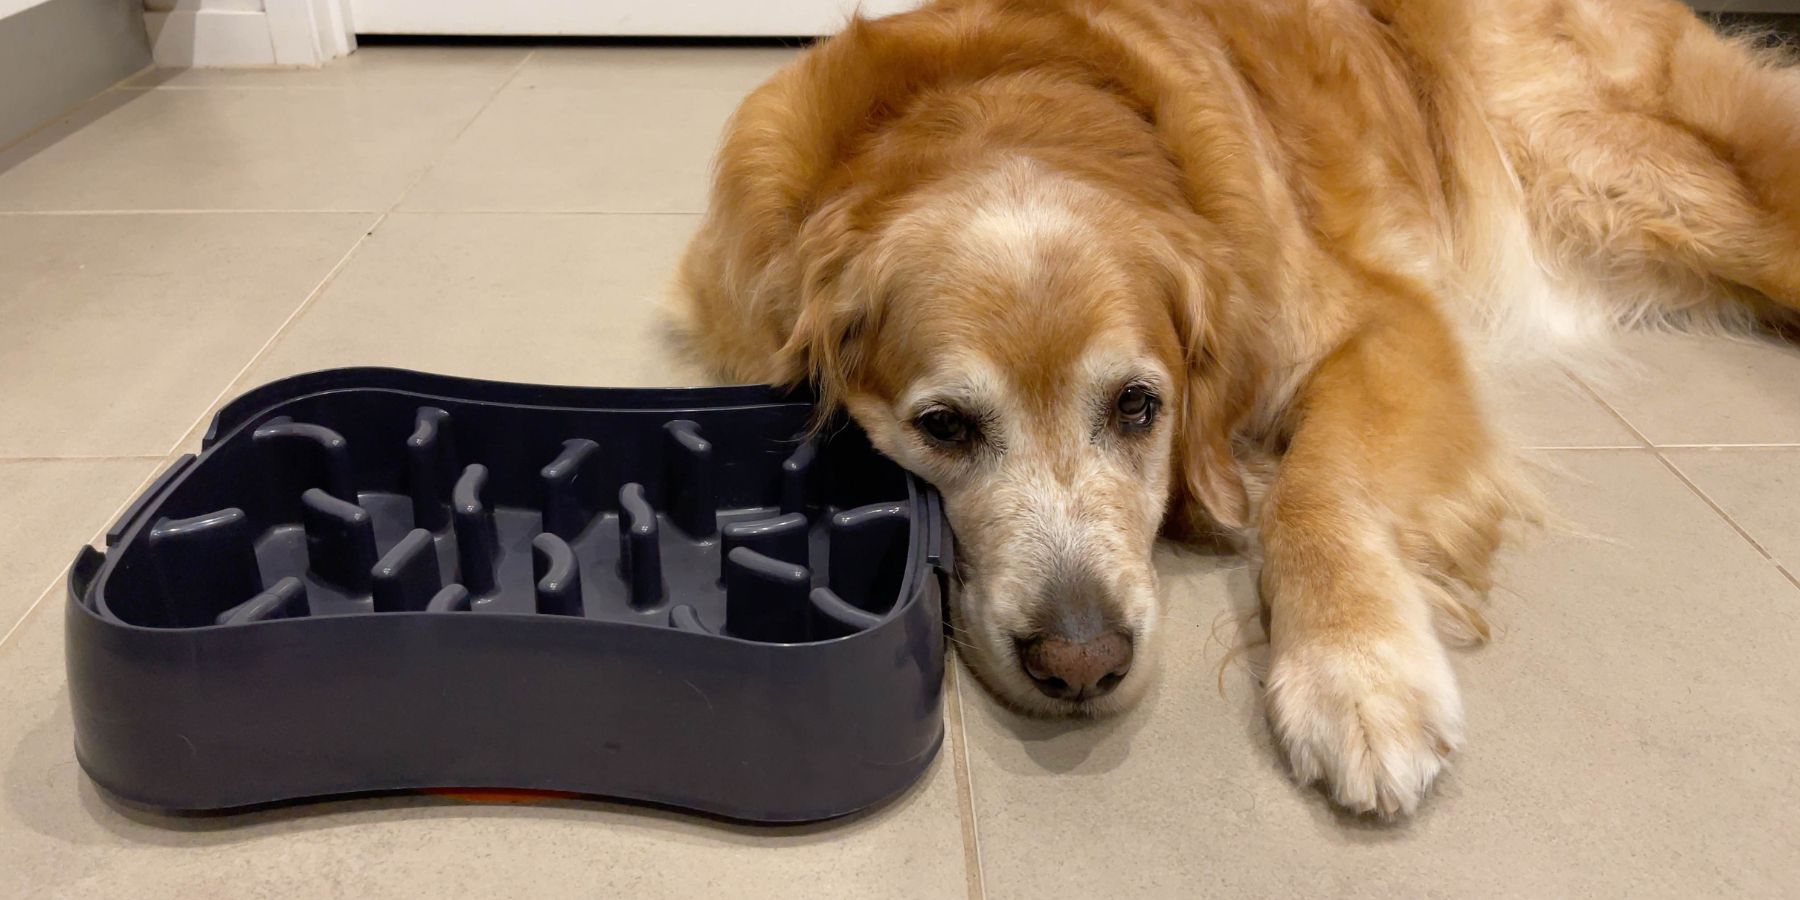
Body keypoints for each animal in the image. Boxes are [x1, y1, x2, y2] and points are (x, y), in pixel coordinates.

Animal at [666, 0, 1800, 817]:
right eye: (944, 427)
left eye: (1138, 408)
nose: (1083, 663)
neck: (993, 100)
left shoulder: (1383, 320)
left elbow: (1311, 490)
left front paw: (1356, 668)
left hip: (1643, 170)